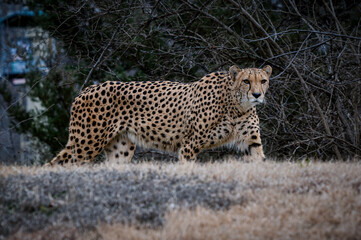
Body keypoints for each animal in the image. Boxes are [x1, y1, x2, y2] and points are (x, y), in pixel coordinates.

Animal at [47, 66, 272, 165]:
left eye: (263, 81)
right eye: (246, 81)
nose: (257, 95)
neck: (237, 106)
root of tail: (87, 88)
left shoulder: (251, 141)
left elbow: (259, 158)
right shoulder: (190, 144)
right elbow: (187, 165)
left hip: (121, 149)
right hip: (86, 143)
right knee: (58, 163)